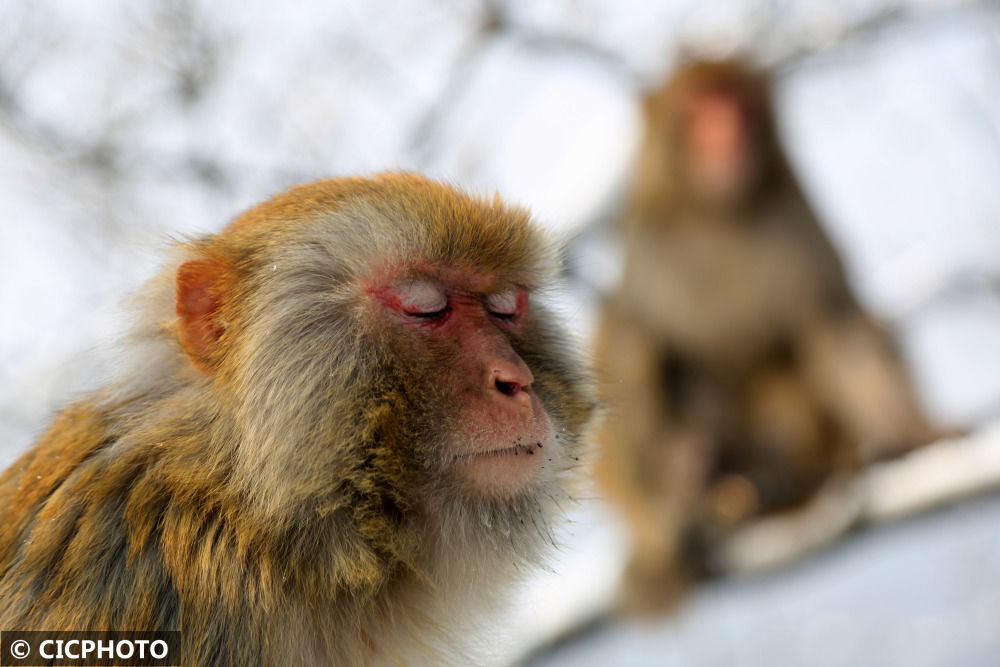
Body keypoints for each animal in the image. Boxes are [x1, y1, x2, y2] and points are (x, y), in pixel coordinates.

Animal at [592, 60, 936, 612]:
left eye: (740, 106)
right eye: (700, 111)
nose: (729, 134)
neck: (717, 211)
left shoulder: (795, 212)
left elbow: (833, 319)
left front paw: (917, 431)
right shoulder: (646, 239)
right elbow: (630, 330)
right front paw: (655, 535)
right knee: (628, 333)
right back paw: (693, 481)